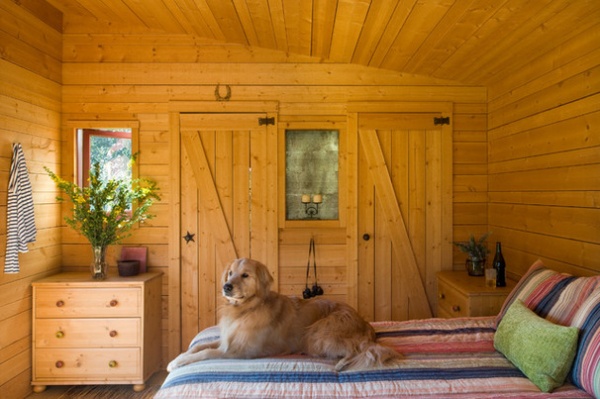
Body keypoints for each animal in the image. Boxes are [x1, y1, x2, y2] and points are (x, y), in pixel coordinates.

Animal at [168, 258, 404, 374]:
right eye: (230, 273)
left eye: (245, 275)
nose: (226, 287)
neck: (247, 308)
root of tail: (365, 324)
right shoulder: (226, 341)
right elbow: (200, 346)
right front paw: (176, 359)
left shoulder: (240, 351)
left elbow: (205, 353)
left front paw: (180, 362)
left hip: (317, 334)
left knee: (359, 350)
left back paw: (339, 365)